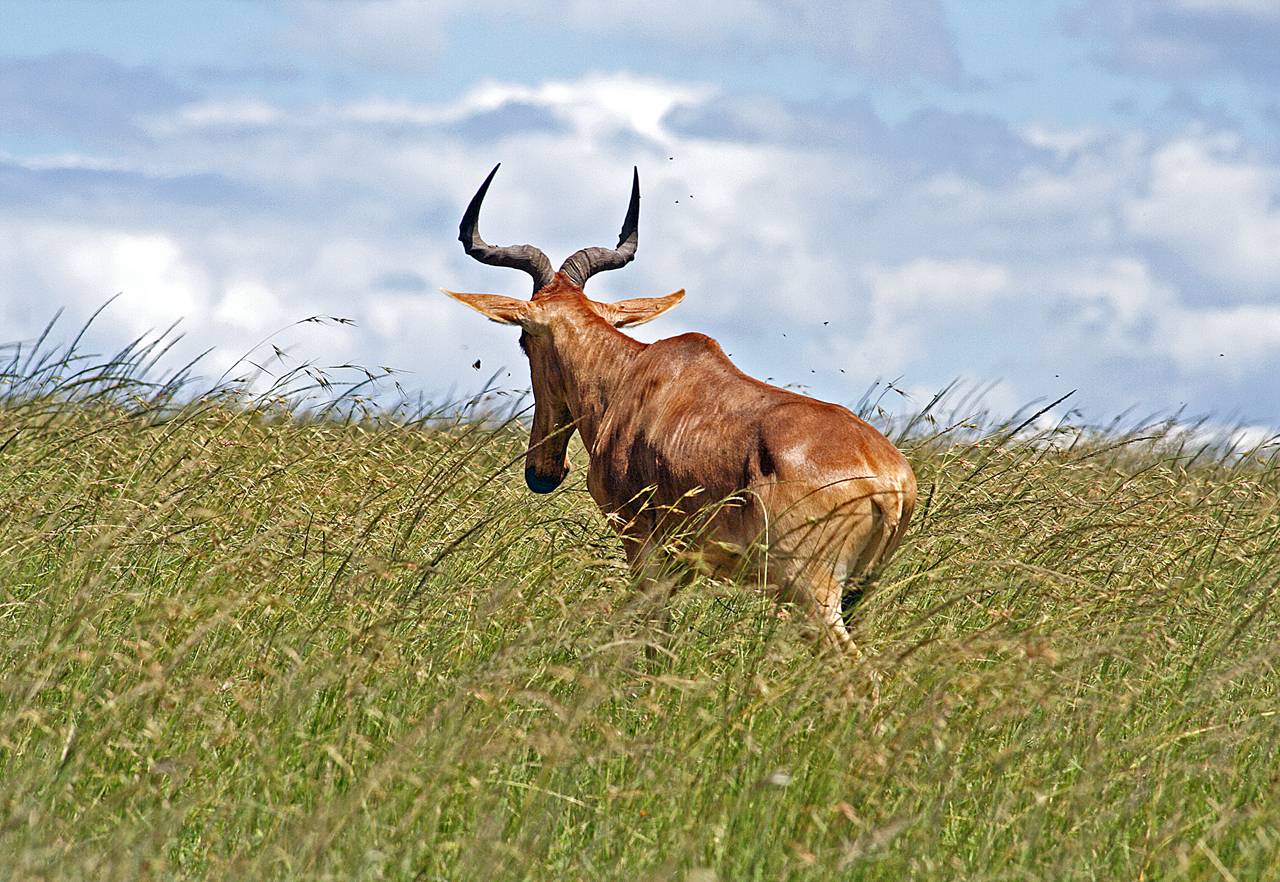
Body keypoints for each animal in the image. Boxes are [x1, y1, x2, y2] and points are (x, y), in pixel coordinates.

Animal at [445, 166, 916, 652]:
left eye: (524, 339)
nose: (543, 473)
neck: (634, 375)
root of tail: (889, 480)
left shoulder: (643, 546)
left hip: (810, 591)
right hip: (859, 592)